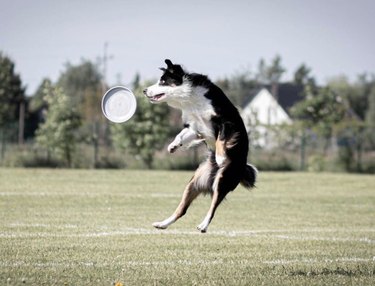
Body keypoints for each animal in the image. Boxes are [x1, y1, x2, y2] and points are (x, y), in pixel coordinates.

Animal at [144, 58, 258, 232]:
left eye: (162, 82)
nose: (144, 90)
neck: (191, 98)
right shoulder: (194, 127)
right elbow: (181, 135)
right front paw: (174, 146)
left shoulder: (225, 121)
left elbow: (220, 139)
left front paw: (220, 156)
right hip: (194, 182)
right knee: (182, 209)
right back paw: (162, 224)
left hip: (224, 179)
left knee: (213, 206)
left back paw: (203, 225)